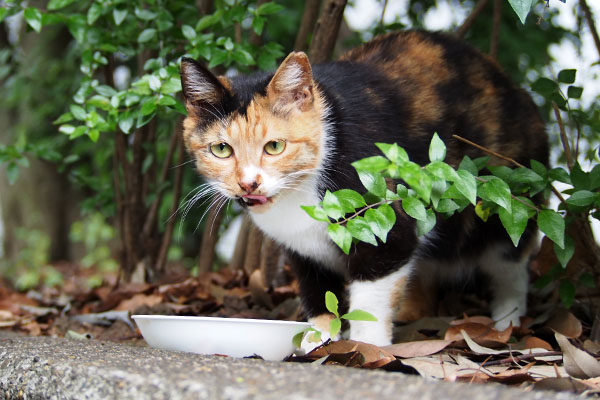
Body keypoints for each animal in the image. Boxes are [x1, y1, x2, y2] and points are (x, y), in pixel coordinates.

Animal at [179, 30, 548, 350]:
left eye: (274, 146)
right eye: (221, 149)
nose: (248, 183)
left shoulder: (386, 227)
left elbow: (371, 294)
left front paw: (365, 348)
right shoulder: (302, 251)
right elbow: (318, 293)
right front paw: (319, 338)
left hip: (507, 207)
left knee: (511, 263)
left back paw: (507, 321)